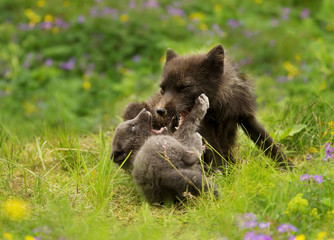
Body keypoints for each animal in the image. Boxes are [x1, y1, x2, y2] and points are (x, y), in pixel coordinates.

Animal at [122, 44, 292, 170]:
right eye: (163, 89)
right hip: (133, 108)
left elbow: (269, 144)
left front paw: (290, 169)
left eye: (184, 87)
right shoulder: (205, 127)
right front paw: (228, 179)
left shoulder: (245, 117)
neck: (219, 108)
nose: (160, 111)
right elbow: (217, 155)